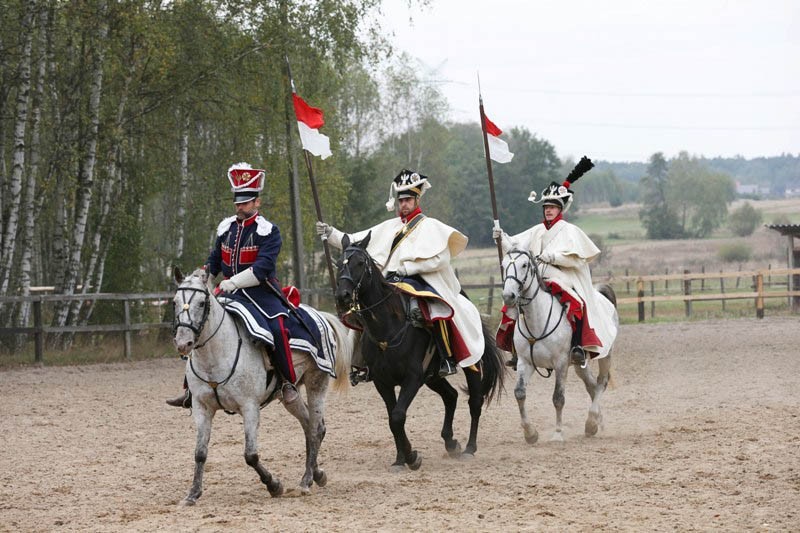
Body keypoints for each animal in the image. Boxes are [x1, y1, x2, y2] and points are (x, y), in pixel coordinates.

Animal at [172, 266, 354, 502]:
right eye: (174, 302)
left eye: (202, 303)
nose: (183, 343)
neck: (216, 354)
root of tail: (320, 315)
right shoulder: (202, 408)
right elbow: (200, 453)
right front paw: (193, 493)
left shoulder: (249, 407)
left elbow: (250, 455)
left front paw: (274, 485)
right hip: (290, 395)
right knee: (308, 425)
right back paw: (316, 474)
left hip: (317, 383)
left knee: (316, 428)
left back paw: (307, 480)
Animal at [336, 233, 500, 470]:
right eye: (338, 263)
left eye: (359, 263)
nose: (343, 296)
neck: (389, 326)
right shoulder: (383, 382)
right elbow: (392, 419)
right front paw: (401, 458)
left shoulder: (412, 378)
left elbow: (397, 416)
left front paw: (410, 457)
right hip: (432, 377)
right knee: (451, 396)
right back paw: (451, 442)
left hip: (471, 364)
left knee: (475, 402)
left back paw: (469, 448)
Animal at [500, 249, 620, 444]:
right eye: (503, 266)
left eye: (524, 265)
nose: (508, 296)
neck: (537, 320)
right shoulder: (525, 362)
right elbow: (519, 393)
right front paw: (530, 433)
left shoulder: (561, 363)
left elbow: (558, 398)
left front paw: (557, 433)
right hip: (579, 364)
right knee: (591, 385)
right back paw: (596, 423)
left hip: (605, 354)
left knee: (602, 382)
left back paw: (591, 421)